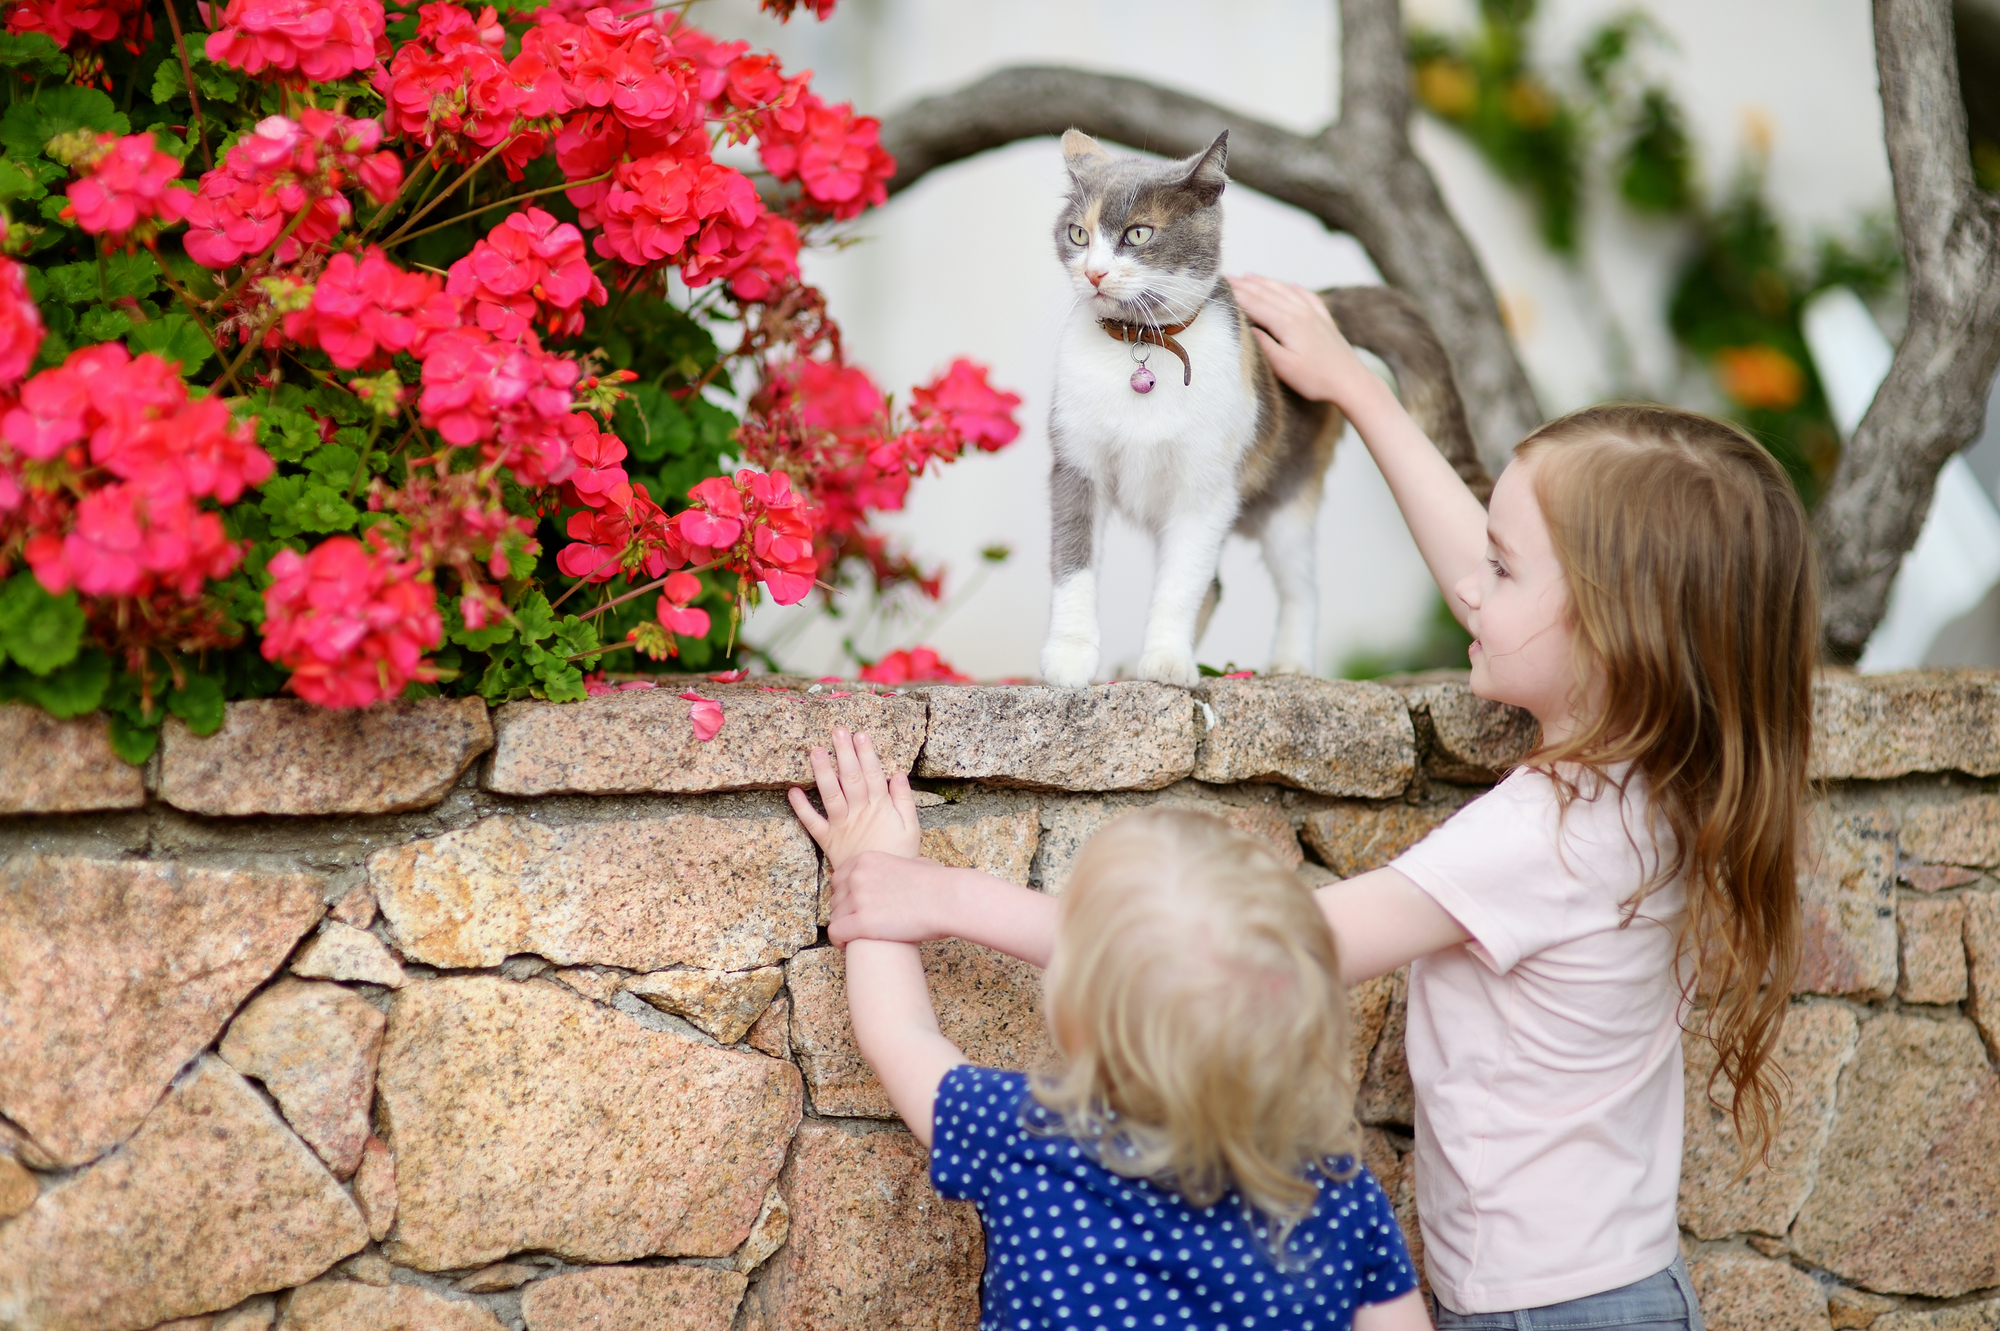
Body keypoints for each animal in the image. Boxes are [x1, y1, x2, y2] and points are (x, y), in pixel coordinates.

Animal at [1032, 126, 1488, 683]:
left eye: (1138, 235)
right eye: (1078, 234)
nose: (1094, 274)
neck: (1141, 345)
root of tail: (1322, 302)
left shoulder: (1206, 488)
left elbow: (1181, 579)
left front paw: (1166, 660)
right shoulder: (1077, 467)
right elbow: (1072, 563)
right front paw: (1071, 657)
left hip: (1288, 495)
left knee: (1300, 586)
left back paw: (1290, 662)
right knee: (1217, 584)